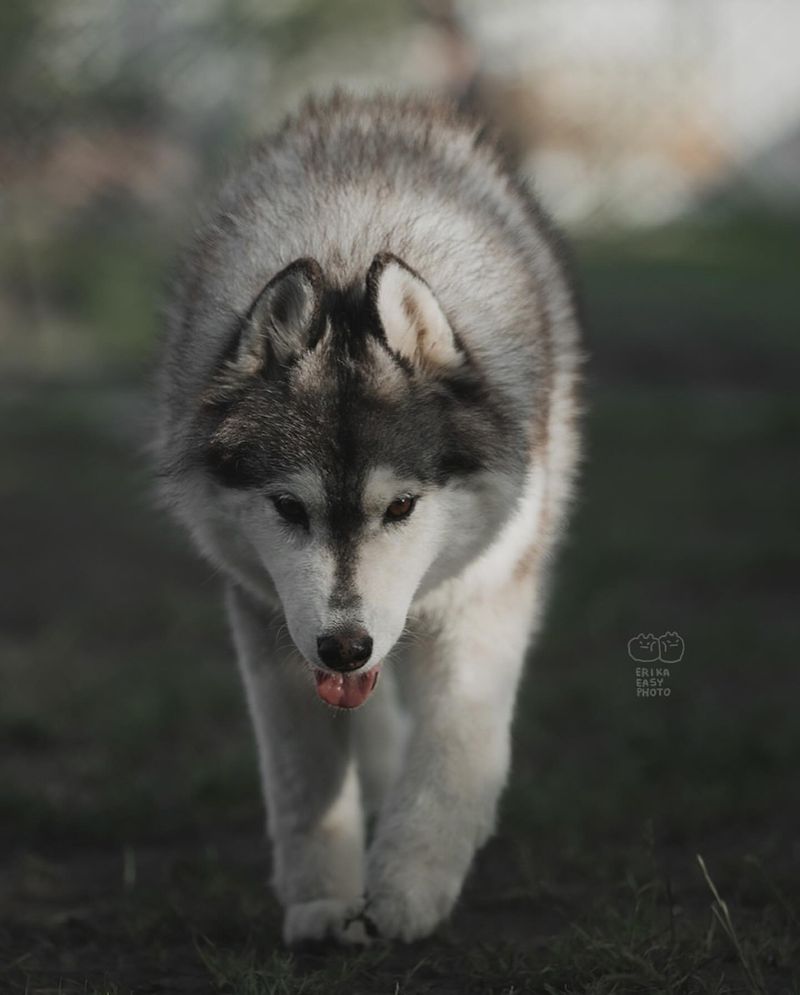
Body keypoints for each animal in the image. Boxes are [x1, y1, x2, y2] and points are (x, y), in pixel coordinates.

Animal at [155, 91, 580, 940]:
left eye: (403, 505)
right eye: (289, 506)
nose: (345, 645)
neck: (347, 253)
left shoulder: (485, 595)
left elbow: (454, 750)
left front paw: (406, 887)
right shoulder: (269, 616)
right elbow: (303, 779)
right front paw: (323, 896)